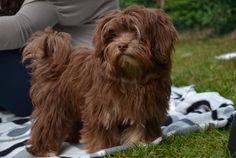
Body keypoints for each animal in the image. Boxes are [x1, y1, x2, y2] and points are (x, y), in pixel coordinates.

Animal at [22, 5, 177, 157]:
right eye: (113, 35)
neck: (130, 76)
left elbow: (139, 126)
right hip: (54, 102)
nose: (122, 45)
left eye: (135, 31)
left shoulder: (145, 107)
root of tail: (49, 59)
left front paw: (140, 143)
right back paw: (43, 150)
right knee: (48, 123)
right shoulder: (101, 108)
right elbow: (102, 131)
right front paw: (101, 149)